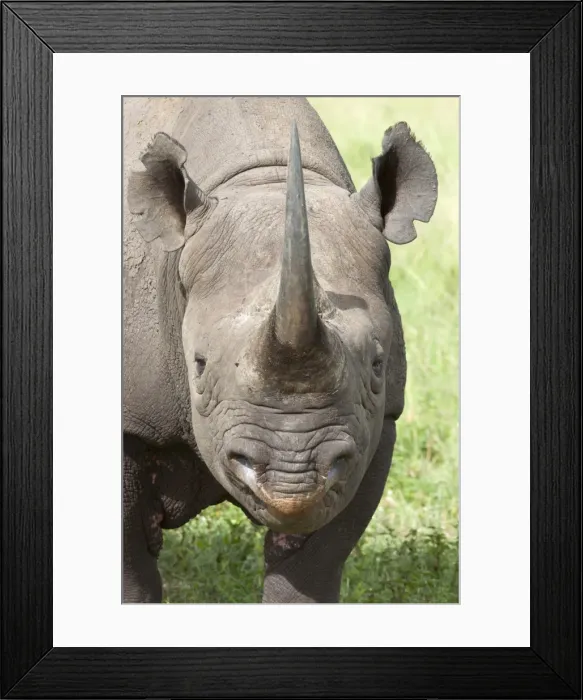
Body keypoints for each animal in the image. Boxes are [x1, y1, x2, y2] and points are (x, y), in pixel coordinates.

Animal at [123, 97, 437, 603]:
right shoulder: (131, 419)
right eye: (198, 366)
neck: (261, 179)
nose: (292, 477)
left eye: (377, 364)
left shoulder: (375, 424)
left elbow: (311, 565)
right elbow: (132, 573)